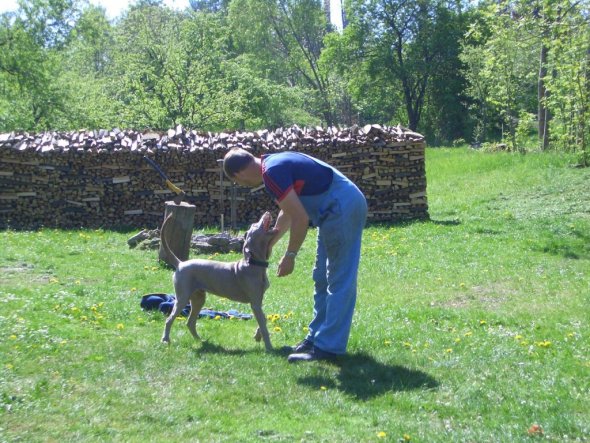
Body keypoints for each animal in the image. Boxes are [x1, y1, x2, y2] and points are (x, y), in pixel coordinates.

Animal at [158, 212, 276, 350]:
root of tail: (180, 263)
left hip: (199, 298)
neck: (254, 263)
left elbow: (263, 319)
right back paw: (165, 340)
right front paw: (269, 347)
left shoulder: (258, 301)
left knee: (190, 322)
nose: (266, 213)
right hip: (182, 297)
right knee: (169, 320)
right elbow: (263, 324)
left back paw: (201, 340)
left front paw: (257, 336)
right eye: (255, 224)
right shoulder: (255, 303)